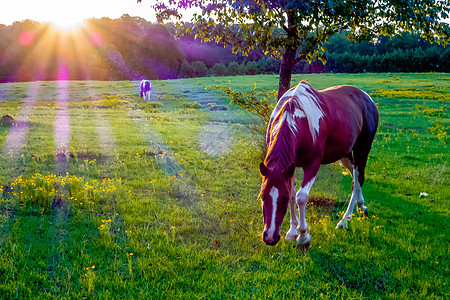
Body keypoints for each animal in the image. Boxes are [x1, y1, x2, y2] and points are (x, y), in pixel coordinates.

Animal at [258, 80, 378, 248]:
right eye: (262, 196)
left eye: (283, 199)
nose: (270, 238)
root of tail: (367, 98)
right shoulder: (289, 168)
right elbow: (293, 194)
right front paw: (292, 232)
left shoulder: (313, 164)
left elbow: (301, 197)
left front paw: (303, 237)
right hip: (345, 154)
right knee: (356, 177)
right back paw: (361, 205)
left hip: (362, 148)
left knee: (358, 179)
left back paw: (345, 220)